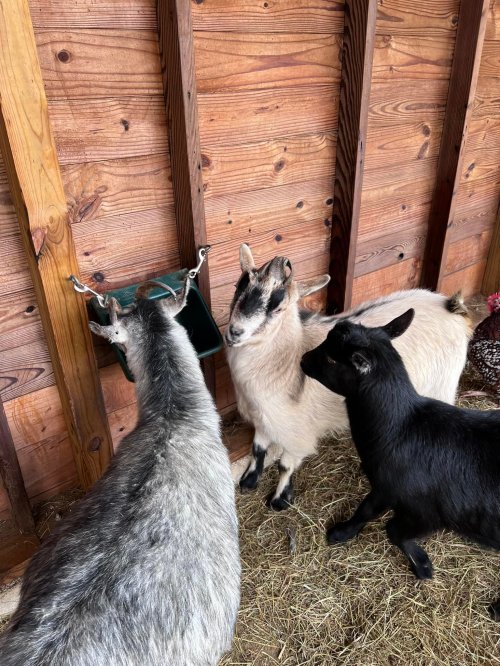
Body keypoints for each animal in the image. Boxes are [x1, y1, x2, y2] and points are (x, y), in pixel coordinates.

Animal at [226, 244, 471, 511]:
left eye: (279, 307)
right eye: (238, 286)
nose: (234, 332)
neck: (287, 360)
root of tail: (450, 306)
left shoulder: (296, 432)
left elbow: (285, 465)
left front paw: (279, 500)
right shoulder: (262, 417)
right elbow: (257, 449)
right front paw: (248, 482)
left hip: (443, 385)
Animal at [301, 309, 500, 620]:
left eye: (332, 359)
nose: (302, 359)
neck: (399, 429)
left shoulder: (424, 511)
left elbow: (390, 528)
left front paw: (422, 565)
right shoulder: (385, 487)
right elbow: (367, 511)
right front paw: (343, 532)